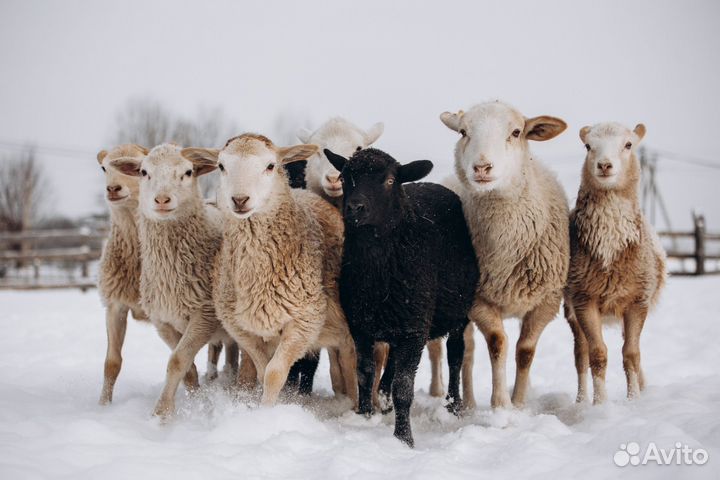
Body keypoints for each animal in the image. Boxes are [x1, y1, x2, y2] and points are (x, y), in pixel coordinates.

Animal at [110, 143, 232, 417]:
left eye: (188, 172)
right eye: (143, 172)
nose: (162, 200)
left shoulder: (204, 315)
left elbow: (177, 361)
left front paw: (162, 414)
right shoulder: (162, 321)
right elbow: (187, 368)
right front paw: (195, 400)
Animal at [181, 133, 358, 408]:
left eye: (271, 166)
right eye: (221, 166)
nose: (239, 200)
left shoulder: (305, 321)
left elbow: (274, 374)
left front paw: (267, 411)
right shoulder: (240, 326)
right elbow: (263, 370)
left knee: (350, 359)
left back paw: (355, 404)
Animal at [324, 147, 479, 447]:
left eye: (390, 181)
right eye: (345, 177)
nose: (355, 208)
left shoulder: (415, 329)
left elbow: (405, 386)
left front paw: (403, 438)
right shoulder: (361, 326)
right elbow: (365, 374)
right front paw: (365, 416)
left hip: (456, 313)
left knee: (455, 354)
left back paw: (453, 405)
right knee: (393, 363)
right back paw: (384, 401)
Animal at [440, 101, 570, 409]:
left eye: (516, 132)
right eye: (463, 132)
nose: (482, 167)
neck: (506, 250)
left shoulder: (546, 301)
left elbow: (525, 351)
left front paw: (520, 403)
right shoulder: (478, 299)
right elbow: (498, 343)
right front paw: (500, 403)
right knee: (467, 353)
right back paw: (469, 404)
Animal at [564, 122, 666, 404]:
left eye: (628, 144)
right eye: (588, 146)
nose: (604, 165)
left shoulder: (637, 301)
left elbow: (631, 354)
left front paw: (635, 401)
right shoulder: (583, 299)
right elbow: (597, 354)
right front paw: (600, 404)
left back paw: (643, 387)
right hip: (571, 310)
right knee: (580, 354)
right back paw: (581, 400)